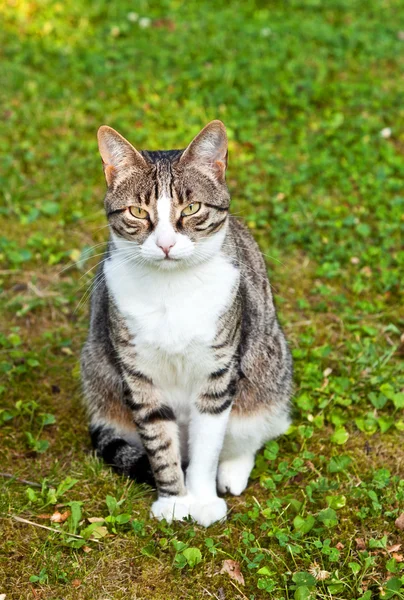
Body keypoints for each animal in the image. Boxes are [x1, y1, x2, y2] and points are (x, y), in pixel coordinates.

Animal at [80, 120, 292, 524]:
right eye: (137, 212)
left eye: (191, 208)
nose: (165, 244)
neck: (171, 289)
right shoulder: (138, 374)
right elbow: (160, 444)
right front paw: (175, 500)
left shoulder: (217, 372)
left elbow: (208, 446)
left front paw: (203, 500)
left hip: (268, 375)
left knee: (249, 432)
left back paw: (232, 472)